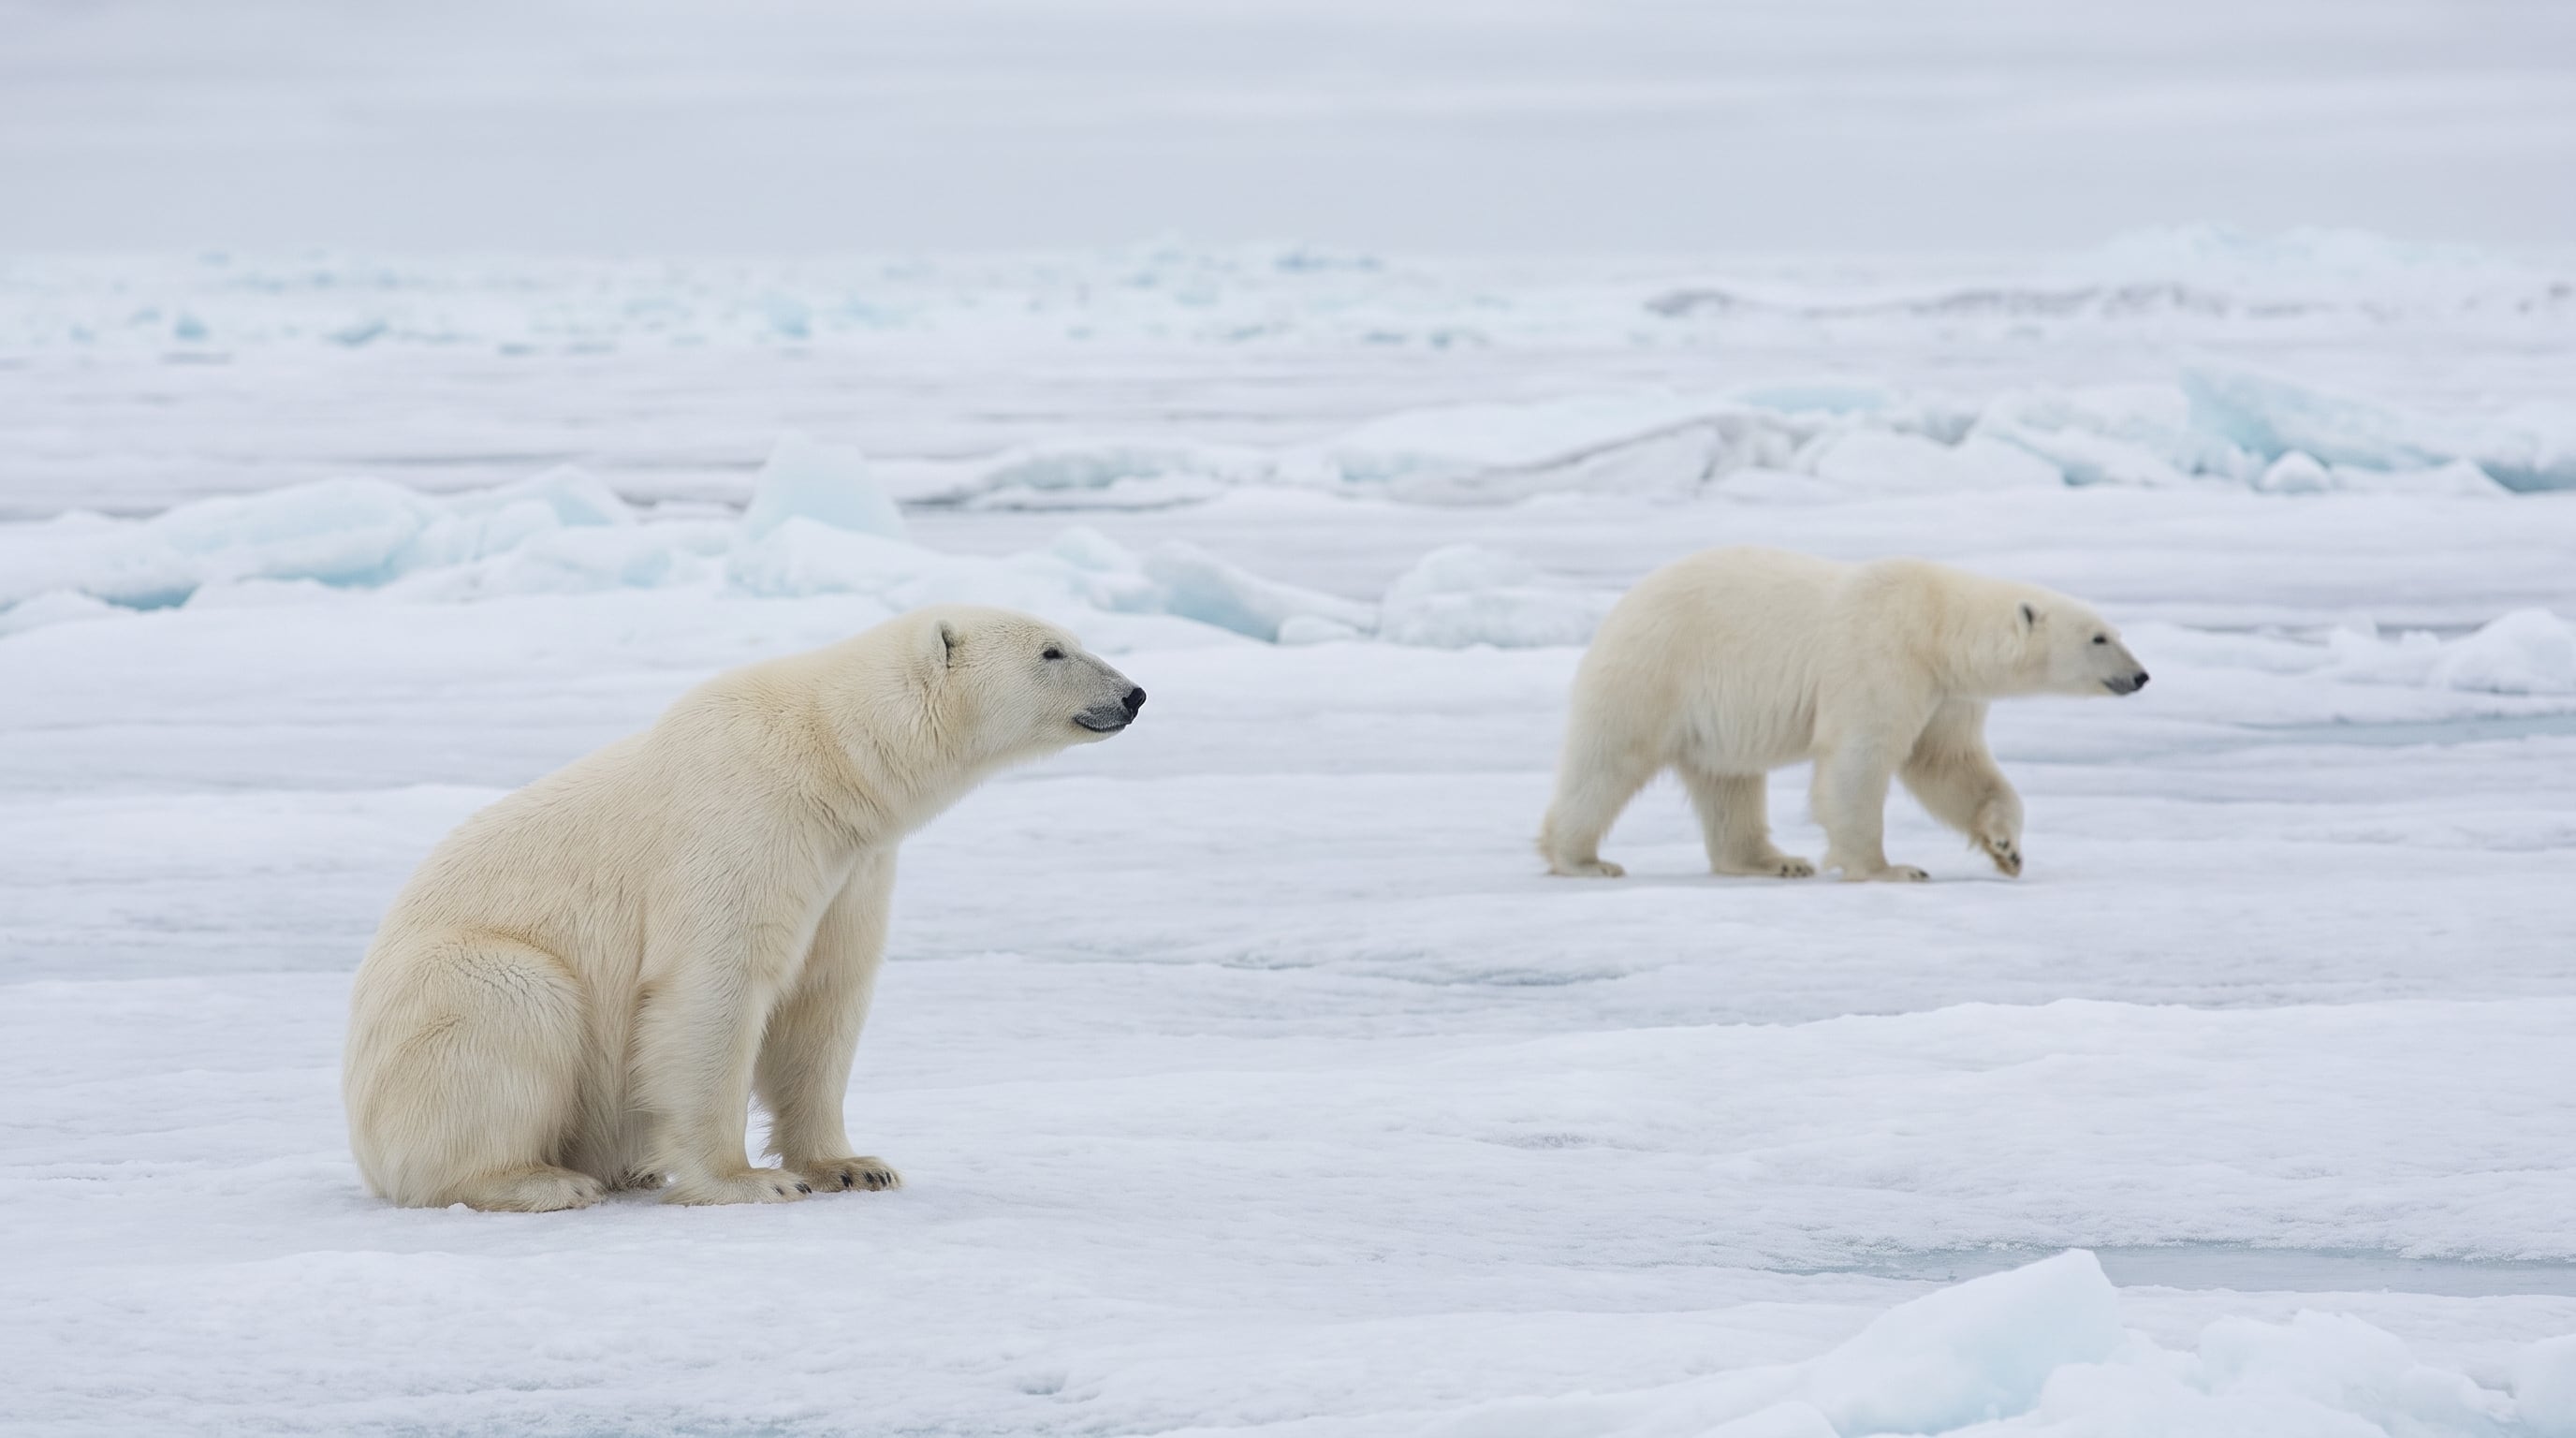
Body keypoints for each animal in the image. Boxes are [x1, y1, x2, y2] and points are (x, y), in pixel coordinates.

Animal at [343, 604, 1145, 1211]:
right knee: (511, 1005)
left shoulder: (852, 867)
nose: (1134, 694)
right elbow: (715, 988)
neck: (828, 759)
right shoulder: (742, 822)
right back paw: (539, 1180)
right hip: (452, 987)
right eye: (1052, 651)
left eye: (1072, 639)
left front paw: (854, 1165)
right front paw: (748, 1181)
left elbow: (825, 999)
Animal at [1538, 547, 2147, 883]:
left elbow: (1949, 764)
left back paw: (1775, 861)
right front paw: (1890, 869)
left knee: (1729, 782)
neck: (1935, 626)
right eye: (2099, 637)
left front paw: (2006, 849)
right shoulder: (1879, 656)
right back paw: (1582, 859)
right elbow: (1860, 758)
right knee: (1608, 762)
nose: (2141, 675)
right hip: (1657, 670)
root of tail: (1622, 605)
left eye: (2116, 632)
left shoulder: (1947, 693)